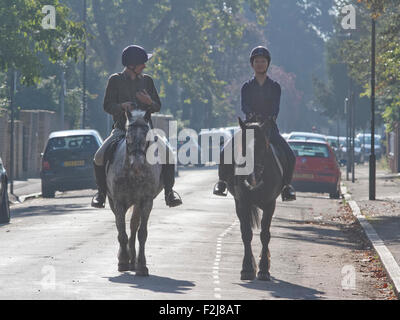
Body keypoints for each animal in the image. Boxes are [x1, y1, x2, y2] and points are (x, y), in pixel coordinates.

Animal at [106, 110, 164, 276]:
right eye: (127, 137)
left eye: (147, 138)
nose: (137, 164)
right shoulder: (118, 202)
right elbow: (121, 231)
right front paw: (123, 261)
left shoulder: (146, 201)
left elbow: (141, 233)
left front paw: (142, 265)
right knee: (123, 227)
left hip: (137, 203)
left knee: (133, 226)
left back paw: (134, 260)